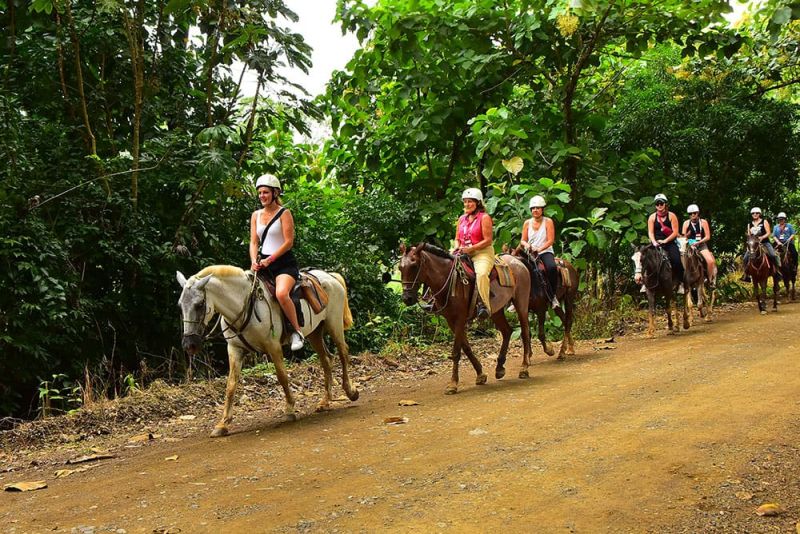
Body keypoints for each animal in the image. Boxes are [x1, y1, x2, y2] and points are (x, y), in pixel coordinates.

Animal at [179, 268, 362, 440]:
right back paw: (325, 402)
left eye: (200, 304)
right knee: (326, 359)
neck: (243, 306)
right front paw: (223, 424)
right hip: (314, 332)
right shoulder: (235, 350)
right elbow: (231, 385)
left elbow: (282, 376)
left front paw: (290, 409)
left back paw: (350, 391)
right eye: (180, 305)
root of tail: (330, 276)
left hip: (334, 324)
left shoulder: (273, 346)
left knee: (343, 353)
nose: (189, 344)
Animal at [398, 244, 532, 394]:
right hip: (495, 310)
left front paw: (453, 384)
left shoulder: (460, 318)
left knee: (525, 332)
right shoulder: (450, 320)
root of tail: (517, 261)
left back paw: (524, 368)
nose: (407, 298)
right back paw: (499, 368)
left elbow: (456, 352)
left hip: (521, 303)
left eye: (414, 266)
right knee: (507, 331)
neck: (447, 279)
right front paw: (480, 374)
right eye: (400, 268)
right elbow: (466, 347)